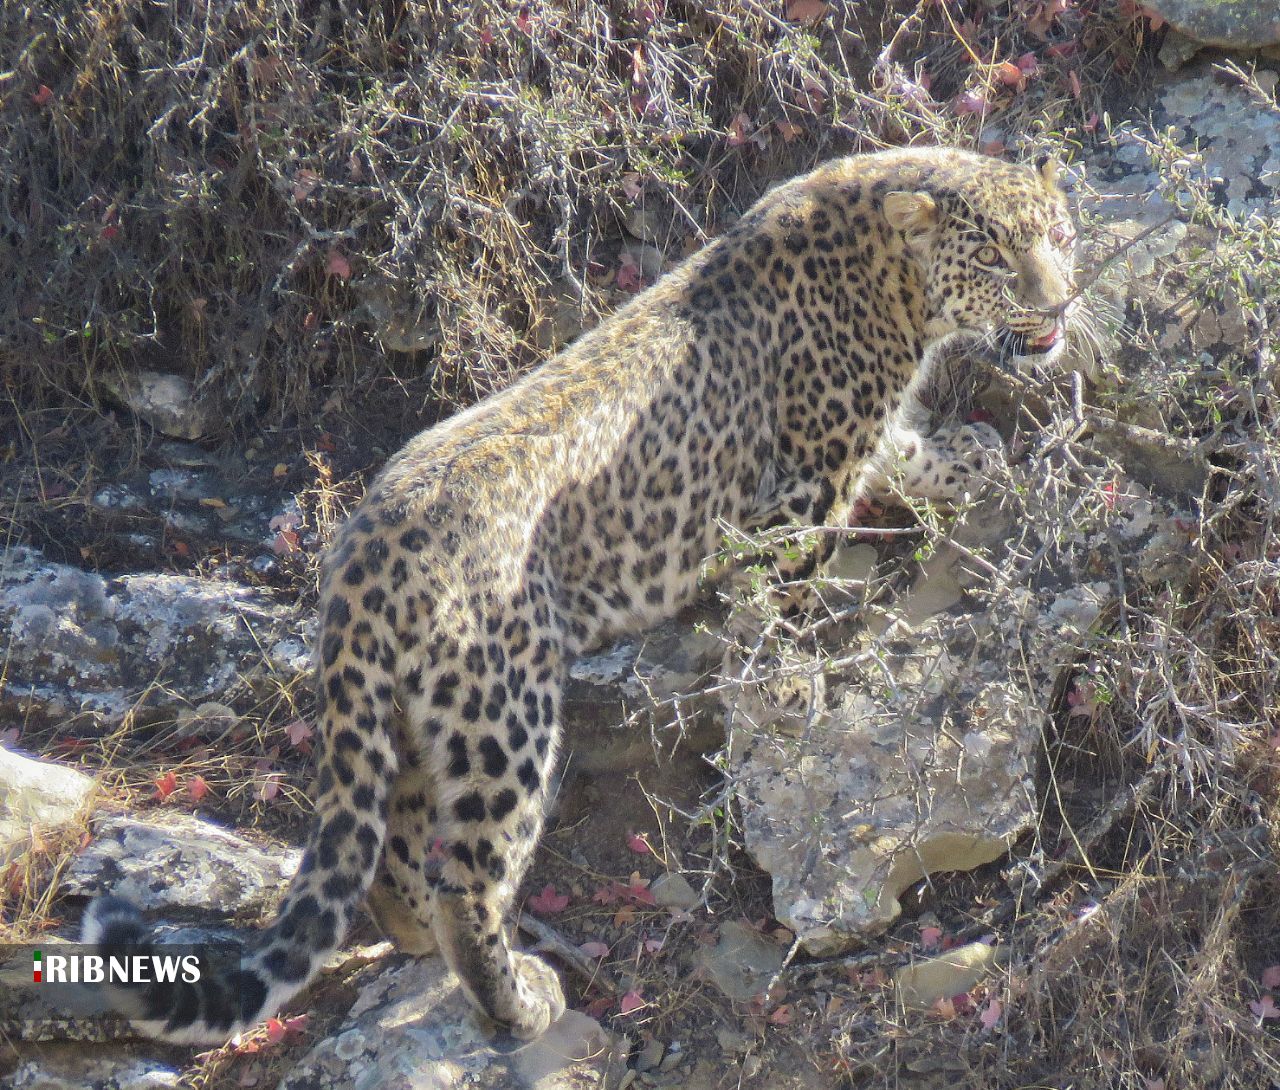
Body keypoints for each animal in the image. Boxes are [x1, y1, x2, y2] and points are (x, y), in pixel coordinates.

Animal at [82, 142, 1080, 1049]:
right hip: (501, 711)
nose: (1060, 302)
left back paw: (417, 944)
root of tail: (359, 558)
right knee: (467, 875)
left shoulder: (852, 447)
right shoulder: (798, 494)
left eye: (1058, 236)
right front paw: (791, 695)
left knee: (394, 845)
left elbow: (905, 452)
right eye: (997, 258)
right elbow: (776, 611)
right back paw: (517, 1000)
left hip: (405, 717)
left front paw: (974, 458)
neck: (894, 275)